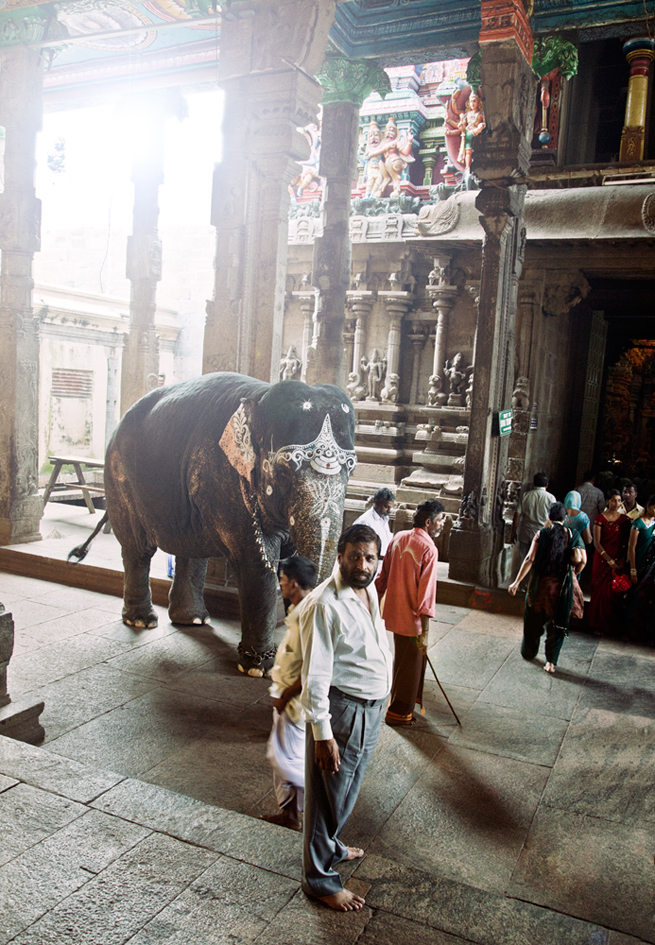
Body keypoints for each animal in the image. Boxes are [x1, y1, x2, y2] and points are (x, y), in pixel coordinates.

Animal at [72, 372, 358, 676]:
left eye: (351, 469)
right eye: (284, 471)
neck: (261, 396)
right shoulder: (226, 485)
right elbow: (256, 564)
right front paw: (258, 670)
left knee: (190, 549)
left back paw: (193, 620)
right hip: (119, 478)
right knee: (138, 550)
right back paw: (142, 621)